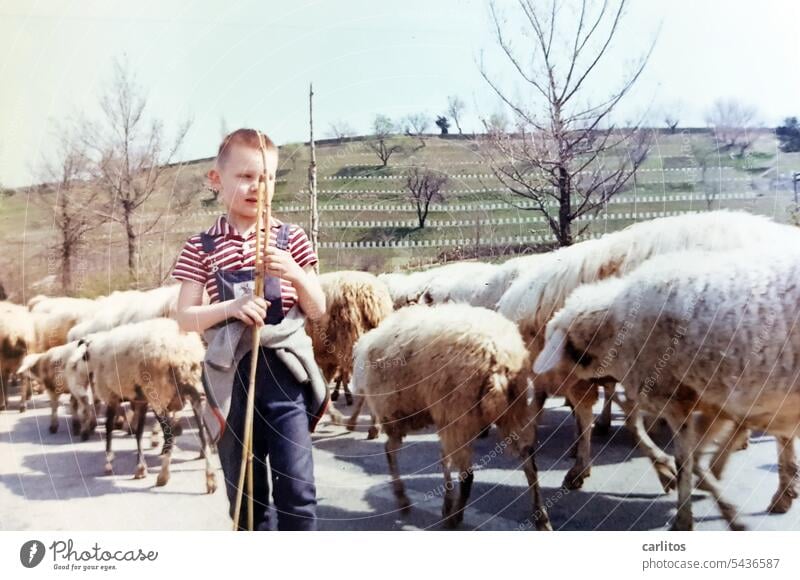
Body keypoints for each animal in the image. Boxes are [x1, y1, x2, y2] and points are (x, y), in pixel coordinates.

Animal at [71, 318, 214, 494]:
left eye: (83, 355)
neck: (96, 356)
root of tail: (183, 352)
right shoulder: (141, 400)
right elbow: (138, 432)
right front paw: (140, 468)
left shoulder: (112, 397)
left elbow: (109, 428)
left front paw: (108, 462)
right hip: (196, 392)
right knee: (203, 433)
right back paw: (210, 478)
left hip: (159, 394)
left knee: (171, 435)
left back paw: (163, 476)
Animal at [354, 304, 552, 532]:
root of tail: (496, 356)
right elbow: (443, 459)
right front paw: (445, 502)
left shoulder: (413, 414)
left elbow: (406, 454)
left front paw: (429, 502)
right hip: (512, 408)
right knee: (529, 459)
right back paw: (541, 517)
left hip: (449, 412)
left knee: (465, 475)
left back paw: (448, 514)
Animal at [532, 246, 800, 532]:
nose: (542, 386)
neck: (618, 325)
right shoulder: (708, 401)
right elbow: (695, 457)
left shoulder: (674, 399)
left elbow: (685, 461)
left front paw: (686, 517)